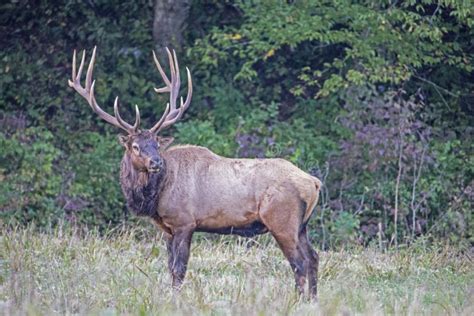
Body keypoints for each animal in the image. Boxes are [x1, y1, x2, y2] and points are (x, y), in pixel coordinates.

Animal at [66, 47, 322, 298]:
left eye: (157, 144)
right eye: (136, 146)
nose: (156, 162)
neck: (156, 195)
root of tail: (314, 182)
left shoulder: (184, 222)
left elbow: (179, 269)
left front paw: (176, 300)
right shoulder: (168, 229)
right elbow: (170, 267)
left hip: (282, 221)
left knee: (299, 263)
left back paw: (296, 300)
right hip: (302, 225)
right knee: (313, 257)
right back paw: (312, 300)